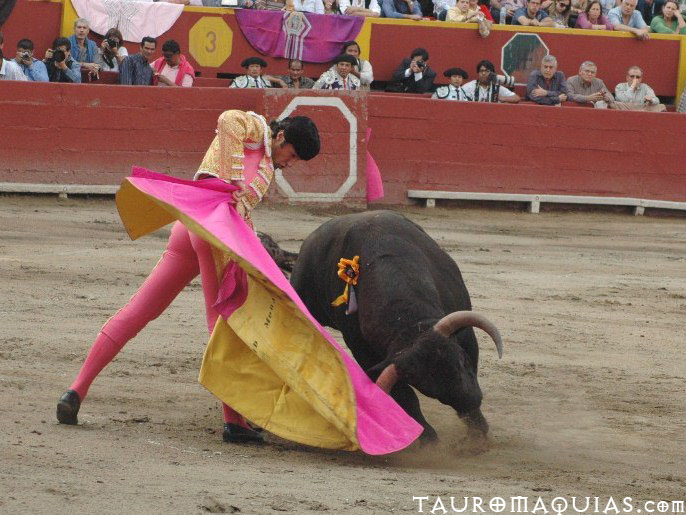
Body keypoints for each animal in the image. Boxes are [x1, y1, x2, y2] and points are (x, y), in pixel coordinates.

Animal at [290, 212, 506, 442]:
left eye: (462, 361)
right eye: (427, 387)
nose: (471, 401)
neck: (408, 320)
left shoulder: (465, 334)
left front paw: (476, 432)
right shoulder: (368, 353)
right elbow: (406, 397)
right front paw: (428, 439)